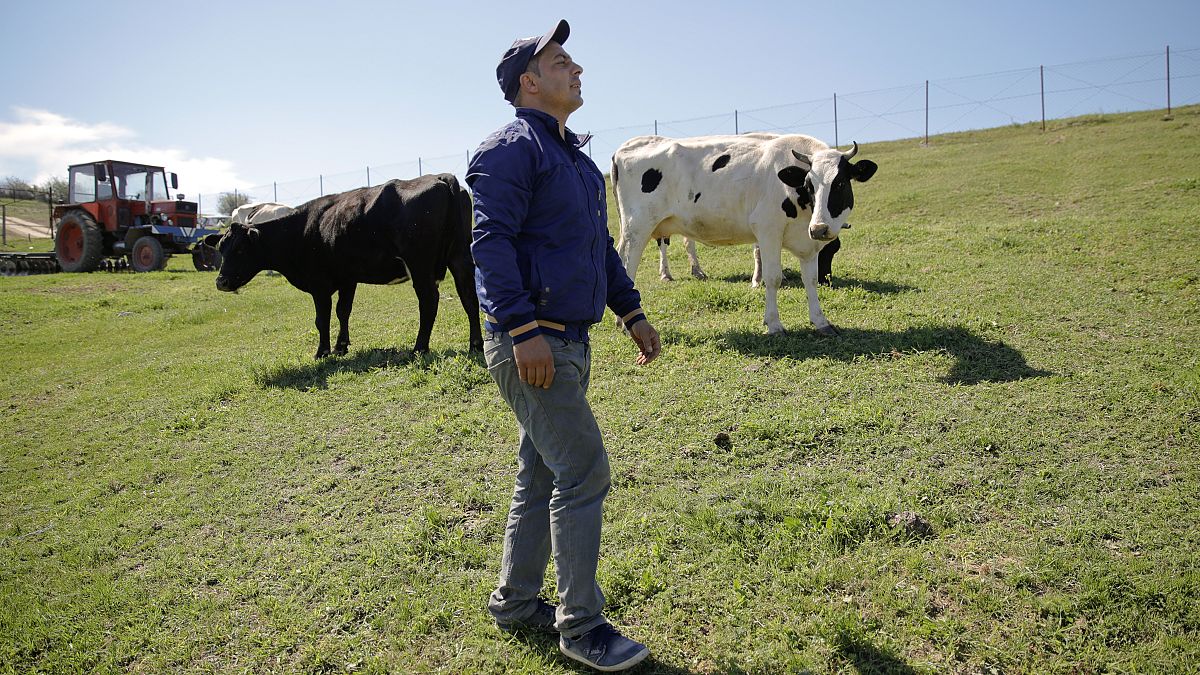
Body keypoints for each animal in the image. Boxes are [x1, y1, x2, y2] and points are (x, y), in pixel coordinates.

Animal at [206, 172, 482, 357]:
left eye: (240, 249)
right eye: (221, 248)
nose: (221, 282)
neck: (300, 231)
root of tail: (440, 177)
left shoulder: (319, 284)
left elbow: (322, 318)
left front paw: (322, 351)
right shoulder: (348, 278)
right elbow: (343, 311)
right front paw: (341, 346)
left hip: (420, 264)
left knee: (429, 301)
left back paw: (419, 347)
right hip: (460, 255)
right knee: (469, 297)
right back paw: (475, 344)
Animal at [614, 133, 878, 333]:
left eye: (841, 183)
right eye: (808, 184)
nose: (820, 229)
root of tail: (626, 146)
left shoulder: (807, 243)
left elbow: (810, 280)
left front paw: (821, 321)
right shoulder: (767, 229)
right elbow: (773, 278)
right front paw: (774, 324)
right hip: (638, 228)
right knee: (628, 266)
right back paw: (626, 323)